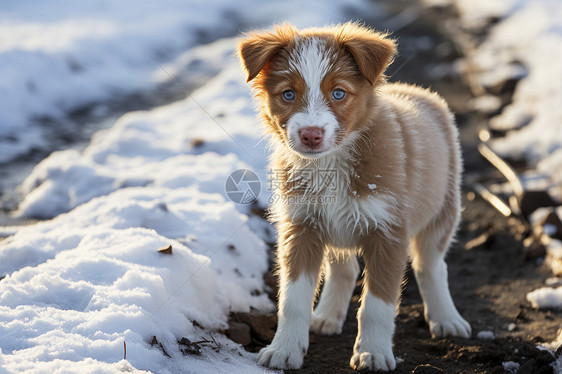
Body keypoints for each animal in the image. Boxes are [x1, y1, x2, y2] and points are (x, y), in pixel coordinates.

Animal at [235, 22, 468, 372]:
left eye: (339, 93)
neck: (331, 164)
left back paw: (446, 318)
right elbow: (293, 300)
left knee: (431, 265)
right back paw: (326, 316)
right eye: (288, 94)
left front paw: (373, 353)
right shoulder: (301, 226)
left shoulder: (389, 232)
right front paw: (284, 349)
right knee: (343, 269)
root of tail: (418, 92)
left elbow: (376, 305)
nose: (311, 135)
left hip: (443, 209)